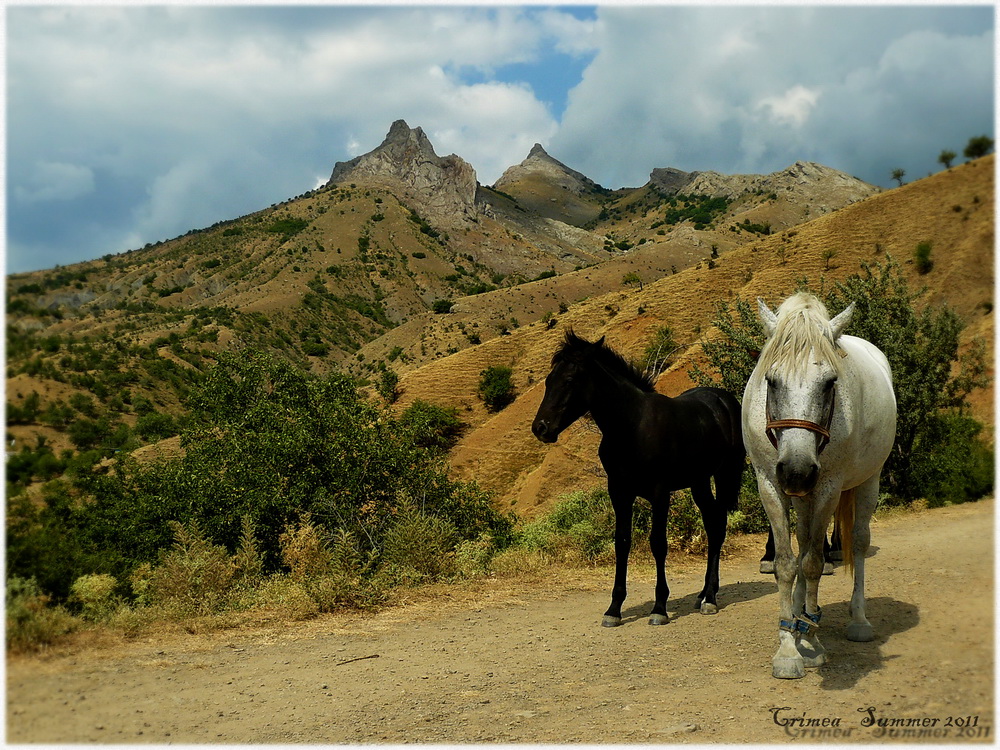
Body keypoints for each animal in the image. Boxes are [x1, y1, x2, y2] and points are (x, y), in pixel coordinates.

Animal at [532, 334, 744, 628]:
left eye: (570, 380)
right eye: (549, 380)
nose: (540, 428)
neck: (632, 427)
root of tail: (724, 399)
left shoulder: (659, 493)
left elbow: (658, 544)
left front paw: (659, 608)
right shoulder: (619, 493)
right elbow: (622, 542)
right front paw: (614, 609)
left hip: (724, 474)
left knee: (719, 527)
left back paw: (711, 599)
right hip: (699, 481)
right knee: (712, 524)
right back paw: (702, 595)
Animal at [744, 296, 900, 680]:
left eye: (830, 382)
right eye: (771, 380)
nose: (797, 471)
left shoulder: (828, 488)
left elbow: (814, 563)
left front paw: (811, 641)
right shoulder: (770, 484)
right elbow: (789, 563)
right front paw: (789, 644)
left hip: (867, 482)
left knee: (857, 543)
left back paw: (857, 620)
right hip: (803, 496)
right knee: (803, 542)